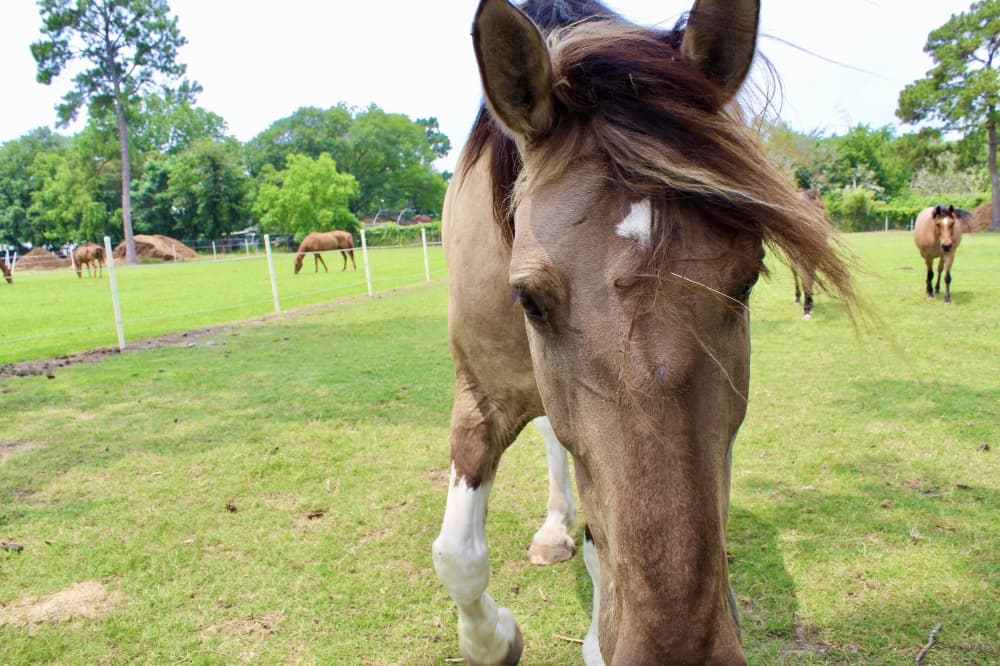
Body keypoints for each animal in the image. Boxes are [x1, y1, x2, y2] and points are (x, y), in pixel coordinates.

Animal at [431, 1, 856, 664]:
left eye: (747, 279)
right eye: (528, 299)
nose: (679, 649)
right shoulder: (481, 395)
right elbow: (457, 554)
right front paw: (496, 639)